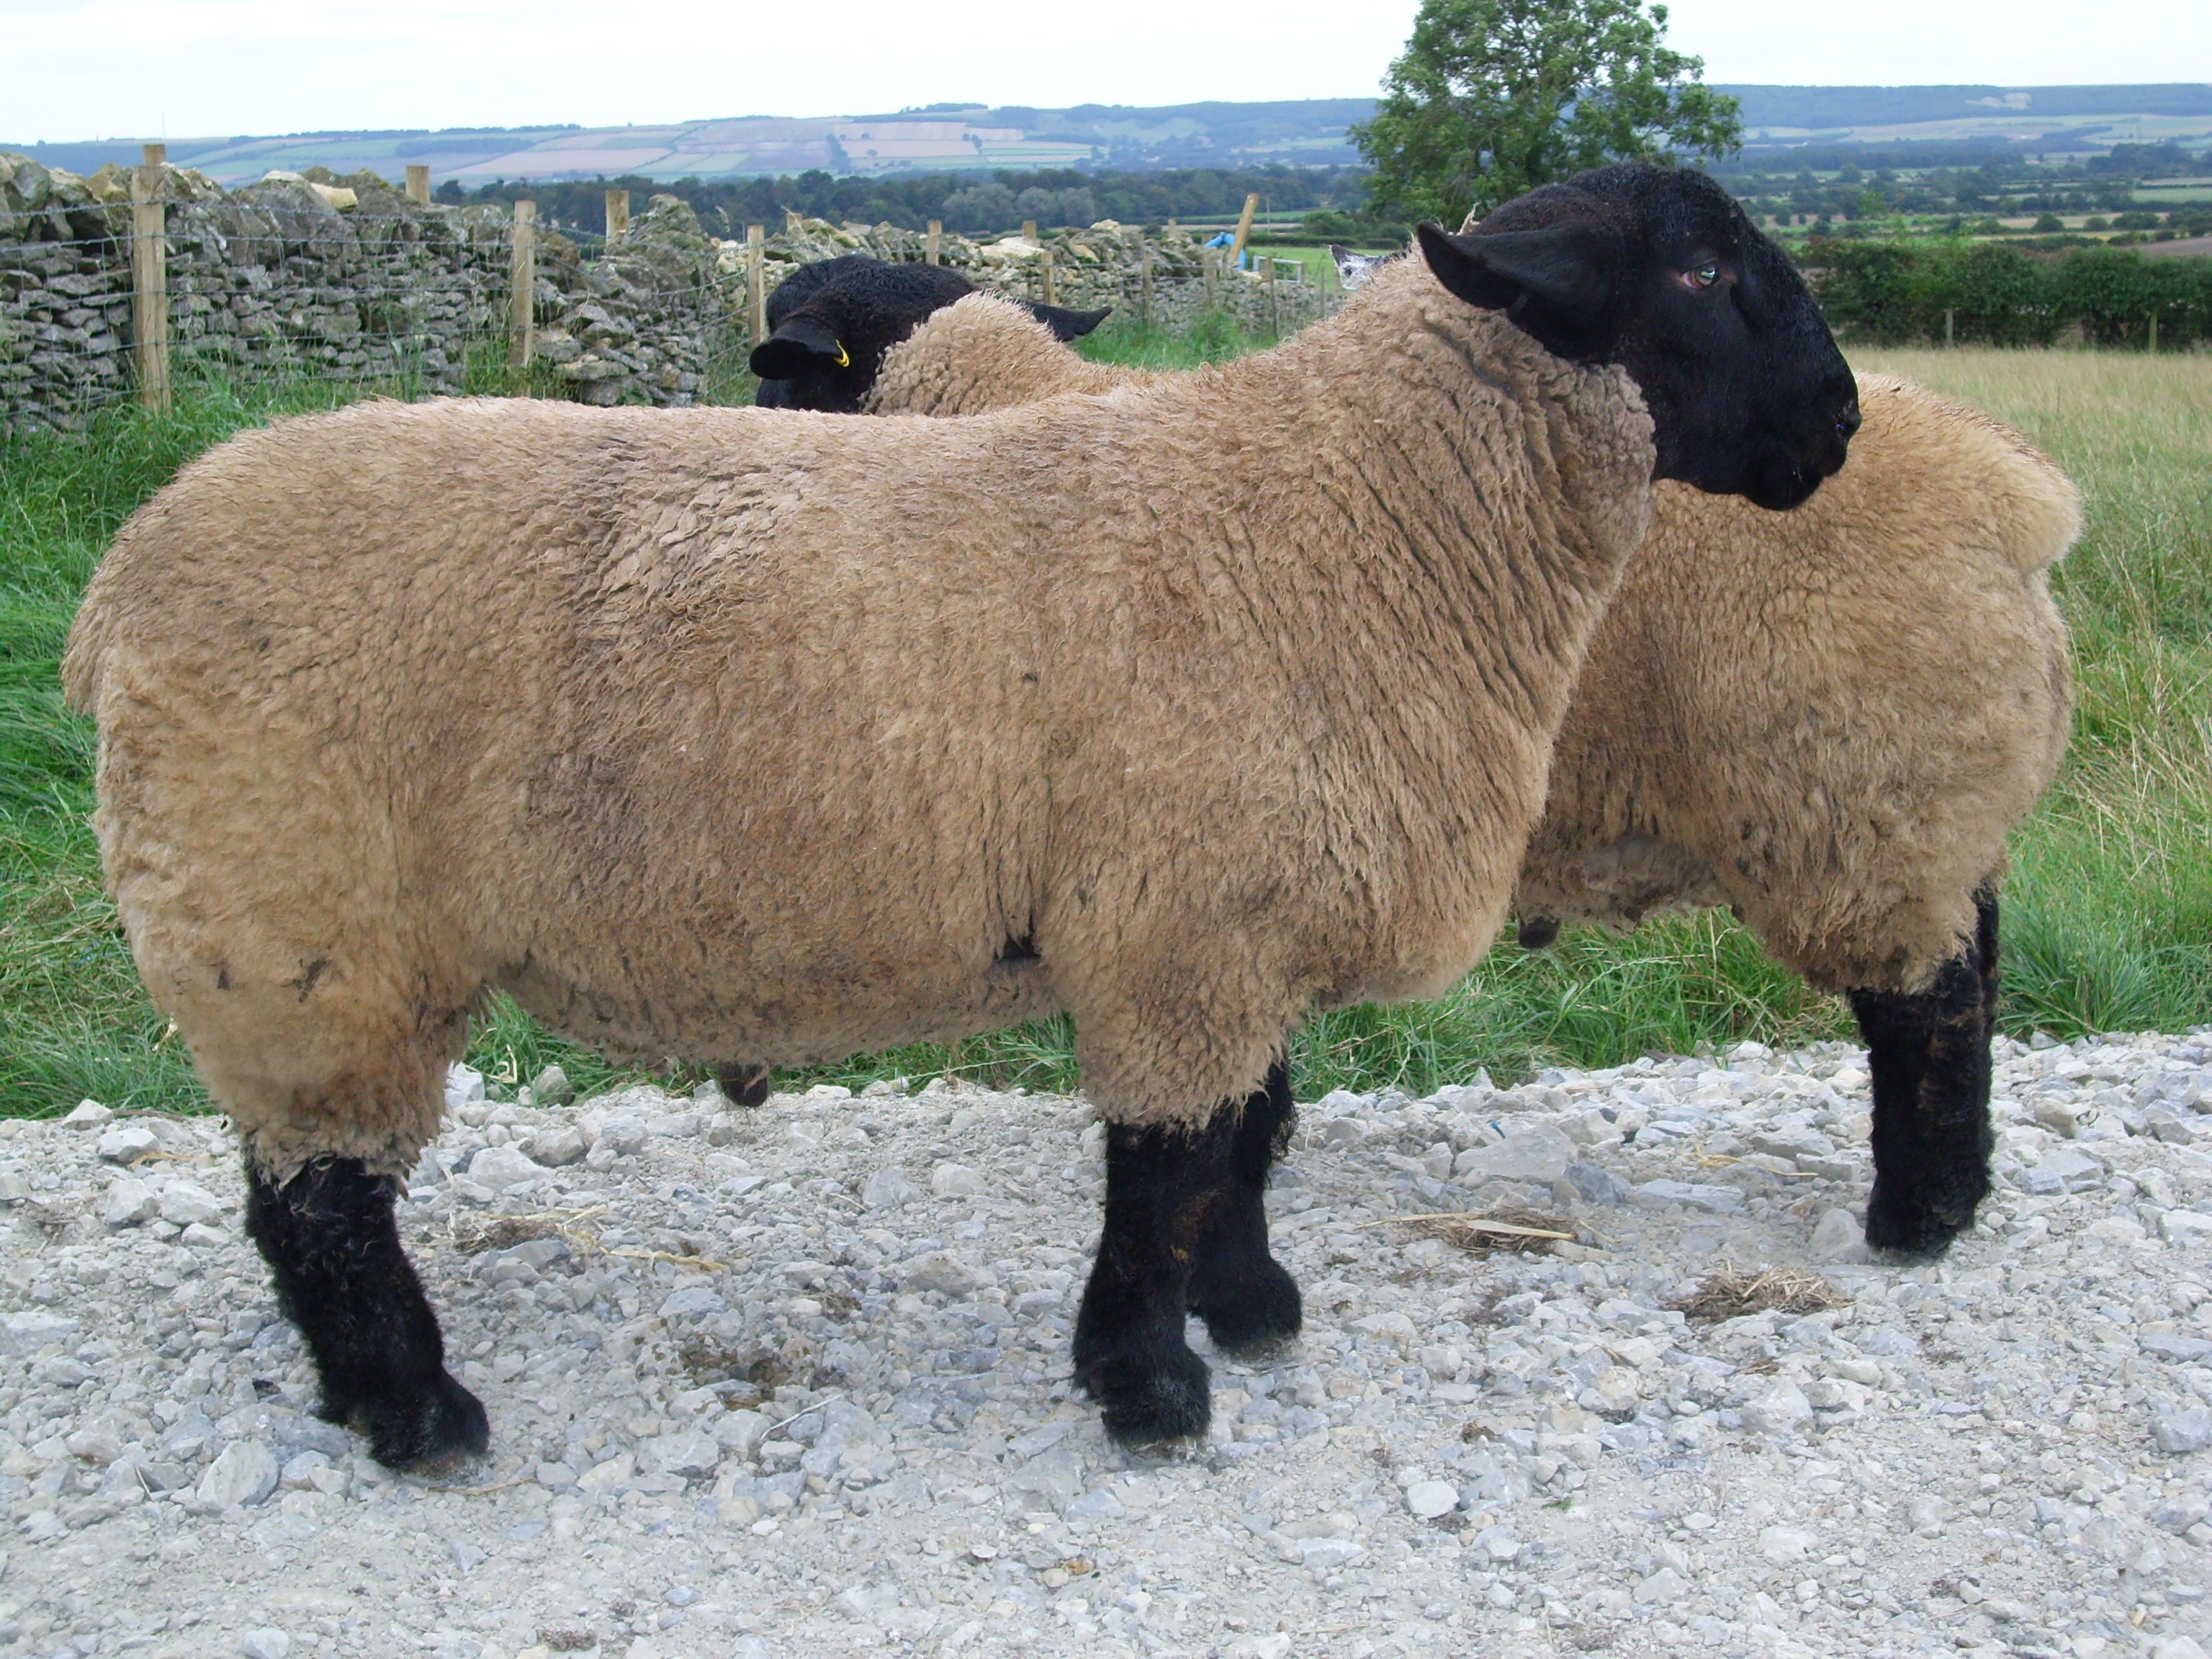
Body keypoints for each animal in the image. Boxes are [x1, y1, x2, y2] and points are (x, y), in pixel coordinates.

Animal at [63, 164, 1858, 1464]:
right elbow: (1164, 1173)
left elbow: (1246, 1141)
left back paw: (369, 1399)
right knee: (320, 1205)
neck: (1352, 517)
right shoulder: (1177, 931)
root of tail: (126, 577)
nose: (1841, 424)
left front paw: (1249, 1308)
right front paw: (1151, 1386)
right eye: (1699, 275)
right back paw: (415, 1414)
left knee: (295, 1200)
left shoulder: (1239, 922)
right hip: (295, 933)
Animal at [863, 282, 2075, 1259]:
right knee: (1980, 969)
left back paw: (1918, 1221)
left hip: (1859, 805)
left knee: (1929, 1007)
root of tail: (2014, 498)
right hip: (1940, 814)